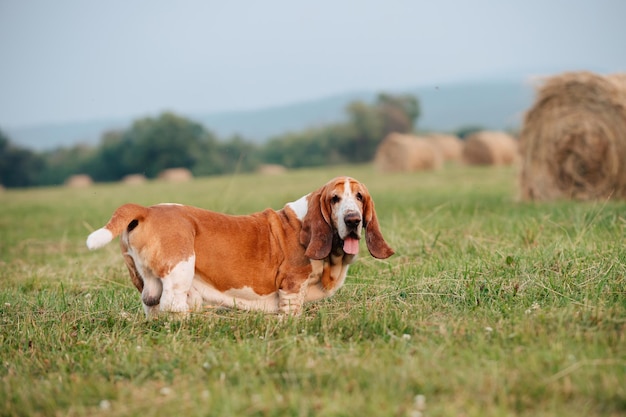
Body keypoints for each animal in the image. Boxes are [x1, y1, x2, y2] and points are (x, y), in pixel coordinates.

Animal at [85, 174, 392, 316]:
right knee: (173, 303)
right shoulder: (292, 285)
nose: (352, 220)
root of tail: (146, 210)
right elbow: (291, 310)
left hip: (144, 280)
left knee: (152, 305)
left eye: (360, 197)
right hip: (181, 267)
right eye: (334, 199)